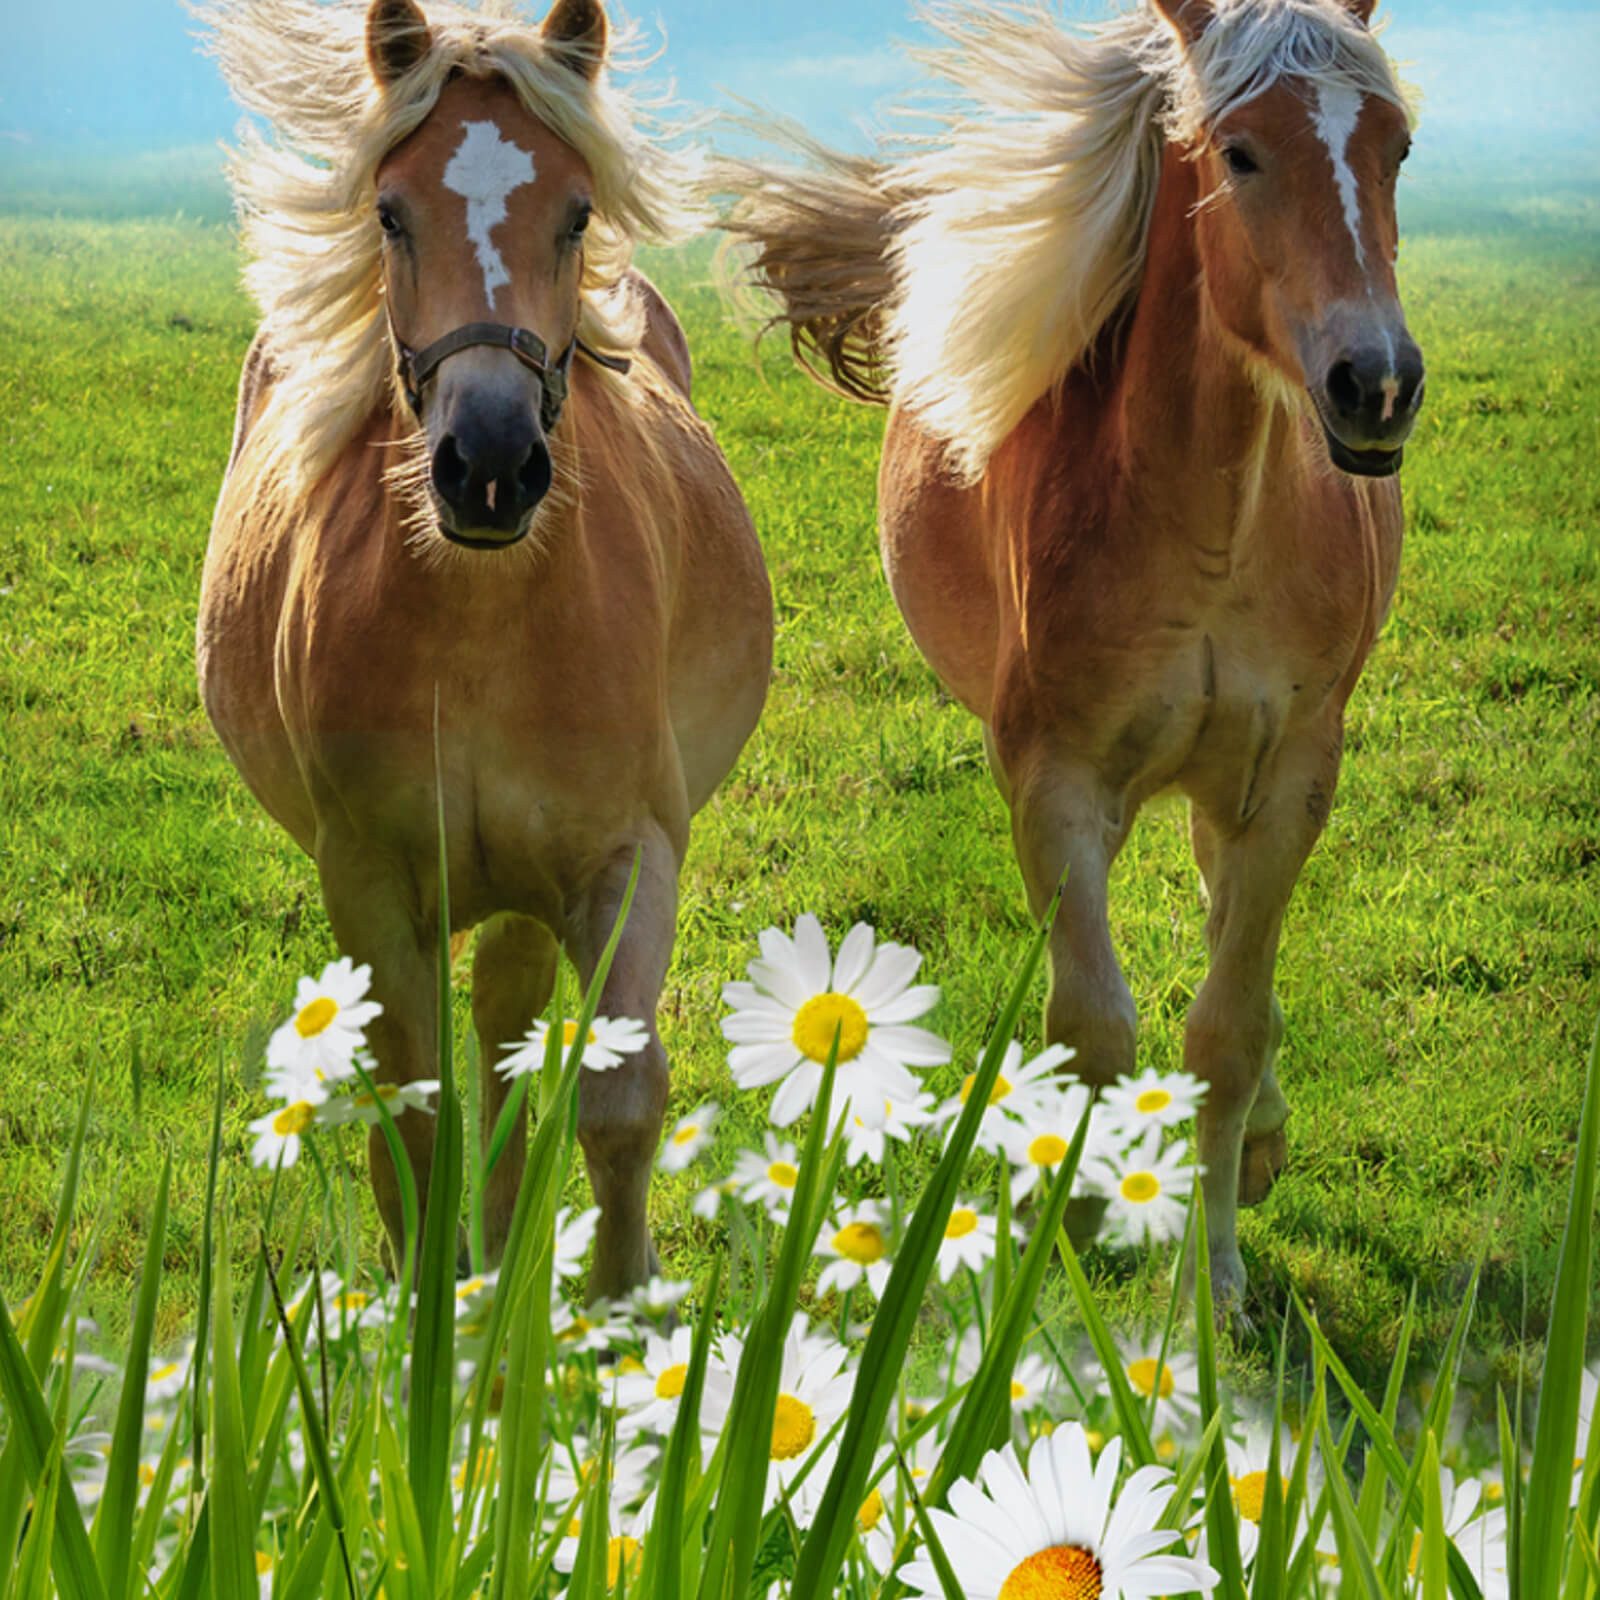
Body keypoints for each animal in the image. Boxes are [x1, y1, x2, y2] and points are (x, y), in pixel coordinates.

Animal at [197, 0, 772, 1300]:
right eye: (389, 212)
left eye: (576, 211)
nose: (491, 461)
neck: (479, 621)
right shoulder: (368, 881)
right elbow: (410, 1119)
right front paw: (421, 1321)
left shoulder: (625, 859)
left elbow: (619, 1100)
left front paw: (618, 1307)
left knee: (512, 1028)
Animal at [722, 0, 1423, 1318]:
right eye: (1240, 153)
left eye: (1395, 147)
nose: (1377, 384)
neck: (1208, 532)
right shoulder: (1054, 782)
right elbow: (1094, 1025)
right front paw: (1080, 1229)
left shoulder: (1291, 779)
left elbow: (1225, 1029)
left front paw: (1213, 1281)